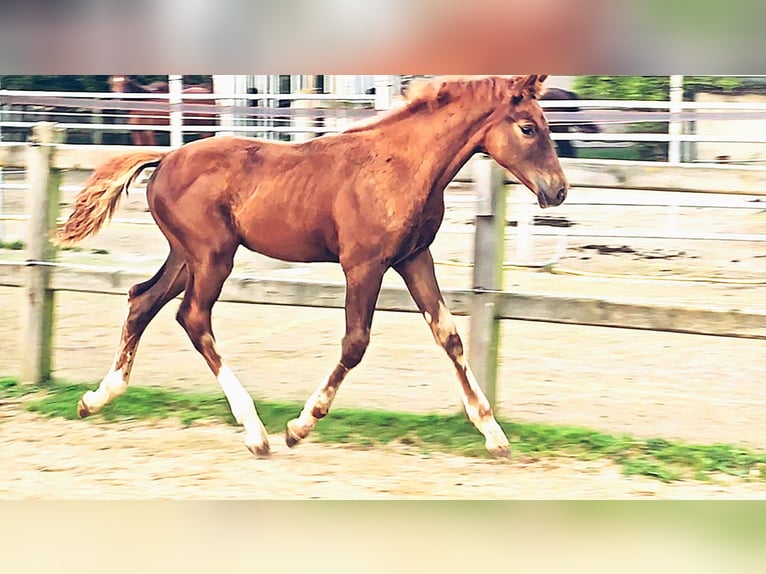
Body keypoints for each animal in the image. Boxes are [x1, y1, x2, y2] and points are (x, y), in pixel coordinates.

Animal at [57, 75, 568, 459]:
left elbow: (449, 337)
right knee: (193, 317)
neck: (403, 166)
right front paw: (299, 427)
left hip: (187, 256)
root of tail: (165, 157)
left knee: (142, 300)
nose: (558, 190)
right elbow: (355, 343)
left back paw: (95, 399)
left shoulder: (413, 258)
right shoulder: (364, 265)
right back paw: (256, 432)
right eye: (528, 128)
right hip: (212, 257)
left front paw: (494, 434)